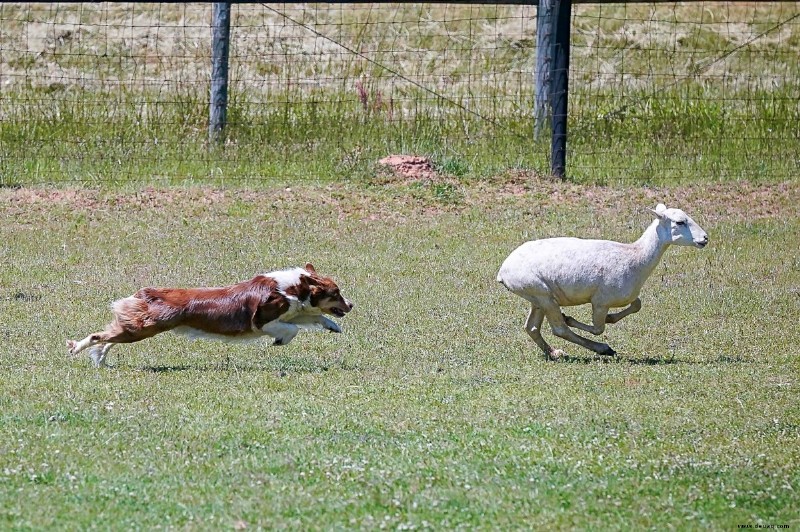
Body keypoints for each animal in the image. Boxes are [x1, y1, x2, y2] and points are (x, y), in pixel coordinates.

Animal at [67, 264, 354, 368]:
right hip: (145, 328)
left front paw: (332, 326)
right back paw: (76, 349)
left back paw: (101, 360)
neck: (293, 288)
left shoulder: (294, 312)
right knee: (98, 336)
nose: (351, 305)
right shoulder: (263, 321)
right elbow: (291, 329)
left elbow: (310, 318)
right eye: (337, 293)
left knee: (109, 337)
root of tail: (147, 293)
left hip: (138, 327)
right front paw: (279, 341)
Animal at [496, 206, 708, 360]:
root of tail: (503, 271)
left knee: (531, 327)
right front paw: (571, 318)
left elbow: (637, 304)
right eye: (680, 222)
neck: (636, 257)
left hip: (537, 297)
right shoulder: (601, 300)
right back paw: (602, 348)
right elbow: (598, 328)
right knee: (559, 329)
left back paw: (555, 353)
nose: (705, 238)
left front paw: (610, 318)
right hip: (542, 294)